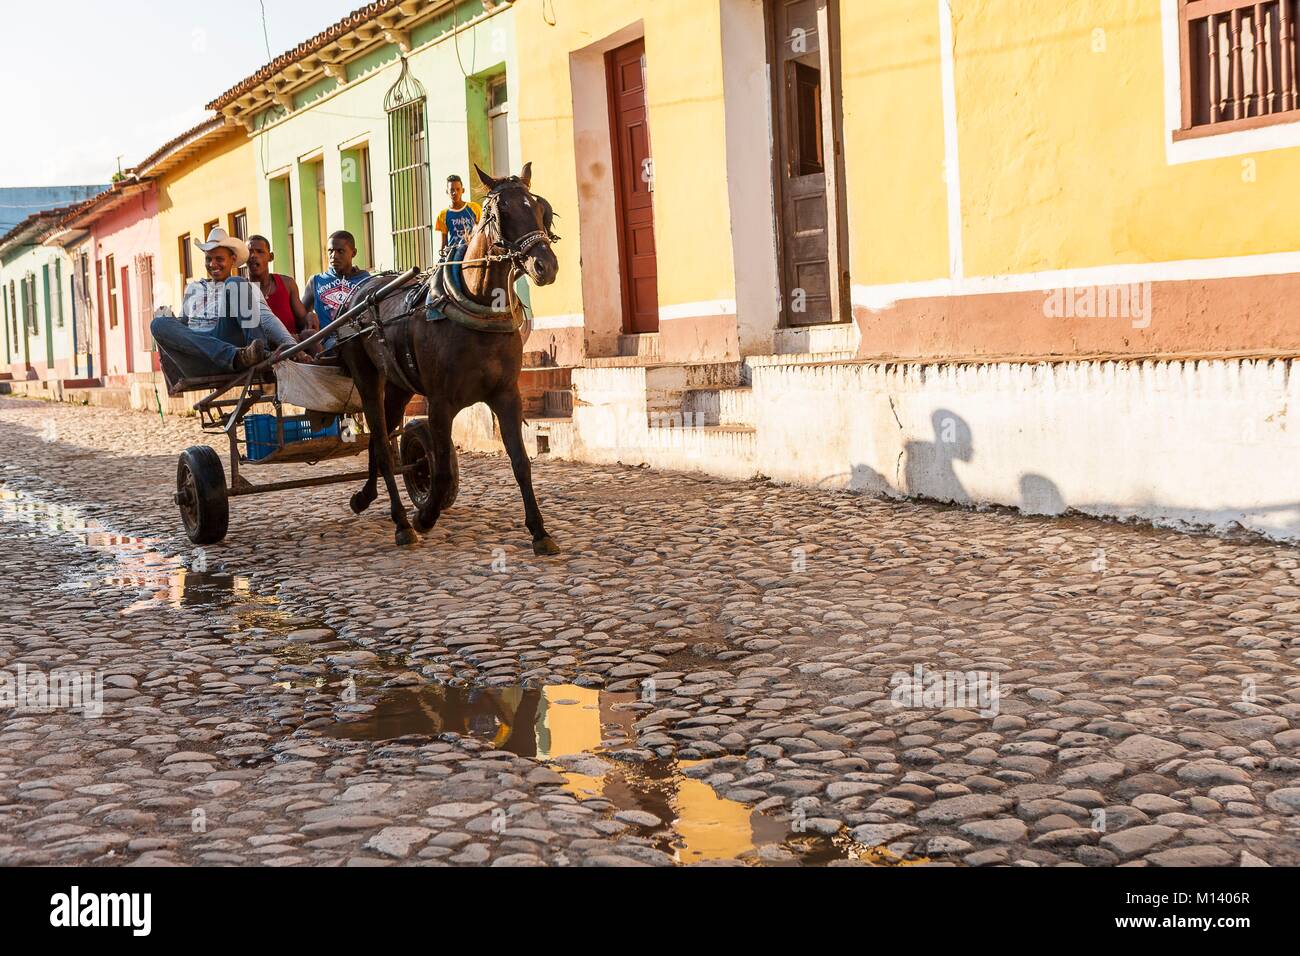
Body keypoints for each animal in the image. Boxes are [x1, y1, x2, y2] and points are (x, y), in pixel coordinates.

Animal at [335, 162, 559, 554]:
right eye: (499, 213)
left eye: (538, 208)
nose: (544, 265)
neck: (475, 304)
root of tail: (358, 293)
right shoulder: (440, 404)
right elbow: (439, 470)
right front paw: (425, 516)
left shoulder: (507, 396)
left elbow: (521, 462)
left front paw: (539, 531)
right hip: (367, 378)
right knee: (382, 443)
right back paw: (401, 522)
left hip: (398, 386)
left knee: (382, 443)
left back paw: (365, 496)